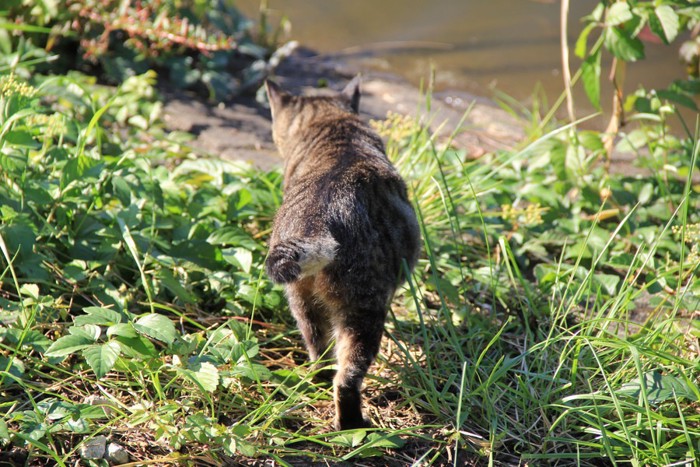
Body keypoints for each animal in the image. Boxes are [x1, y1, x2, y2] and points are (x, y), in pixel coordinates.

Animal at [264, 77, 418, 432]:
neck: (335, 129)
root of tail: (317, 221)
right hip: (363, 311)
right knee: (346, 379)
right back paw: (354, 424)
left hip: (302, 303)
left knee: (319, 354)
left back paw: (316, 382)